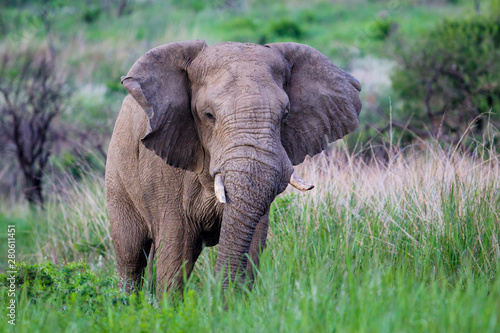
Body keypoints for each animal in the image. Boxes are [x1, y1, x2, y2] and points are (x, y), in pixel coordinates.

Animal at [105, 39, 362, 294]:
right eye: (208, 115)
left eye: (286, 114)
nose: (217, 296)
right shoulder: (163, 170)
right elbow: (176, 250)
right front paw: (170, 304)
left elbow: (253, 242)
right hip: (117, 174)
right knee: (131, 255)